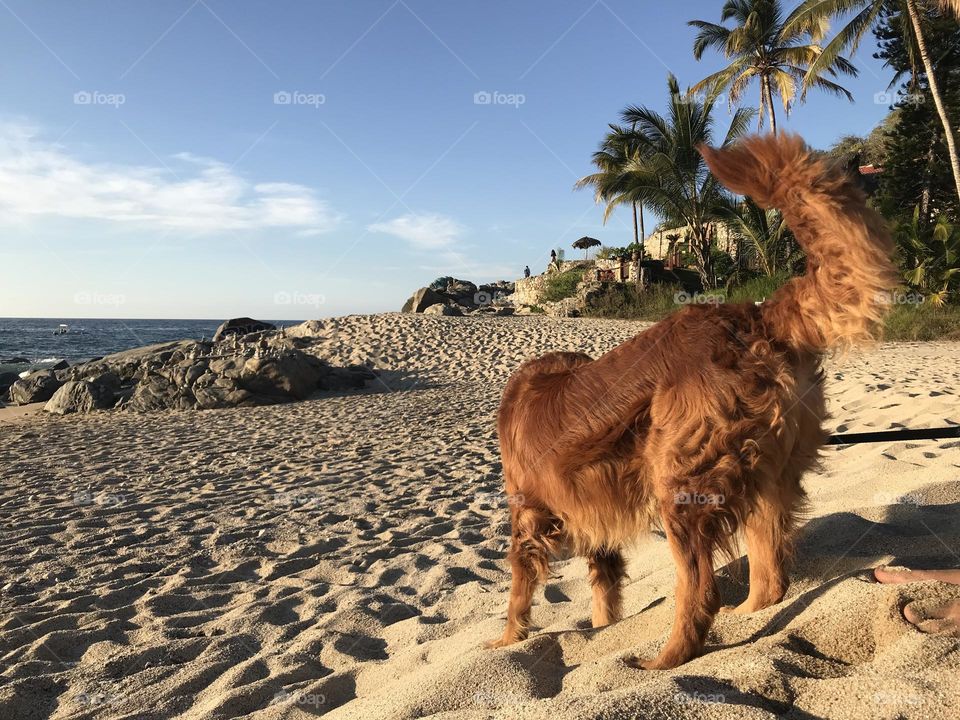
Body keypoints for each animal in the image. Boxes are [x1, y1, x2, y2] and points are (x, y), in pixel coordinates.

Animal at [488, 135, 900, 668]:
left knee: (702, 588)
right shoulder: (597, 531)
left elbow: (519, 592)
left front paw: (506, 641)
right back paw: (747, 616)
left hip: (681, 487)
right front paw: (602, 627)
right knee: (771, 577)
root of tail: (755, 319)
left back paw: (664, 660)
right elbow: (604, 592)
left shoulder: (528, 517)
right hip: (767, 478)